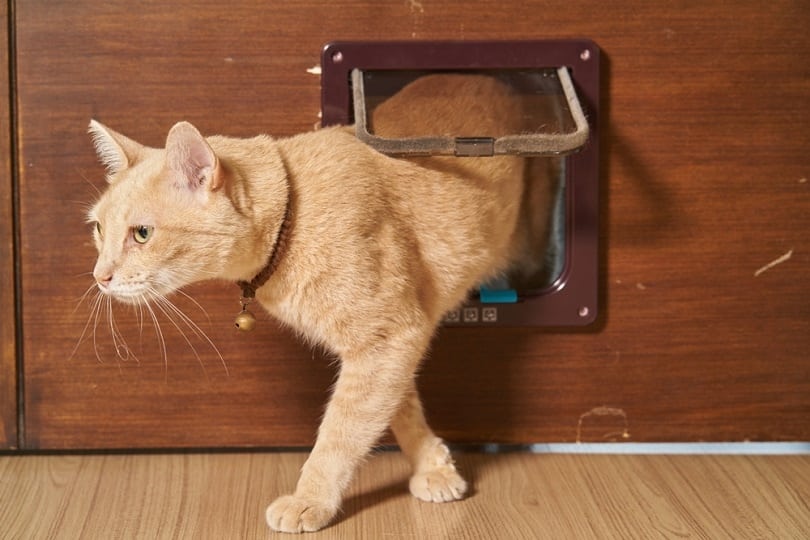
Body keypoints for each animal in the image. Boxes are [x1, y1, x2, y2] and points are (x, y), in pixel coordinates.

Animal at [87, 73, 536, 532]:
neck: (294, 215)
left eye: (142, 233)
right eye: (99, 229)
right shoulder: (393, 346)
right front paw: (434, 465)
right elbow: (399, 406)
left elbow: (341, 431)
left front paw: (311, 500)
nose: (99, 277)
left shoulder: (389, 338)